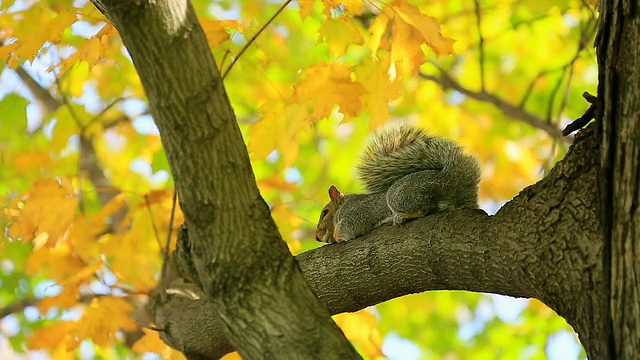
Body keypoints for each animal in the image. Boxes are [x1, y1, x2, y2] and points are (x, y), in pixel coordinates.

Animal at [316, 124, 480, 245]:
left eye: (325, 212)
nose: (317, 237)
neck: (343, 206)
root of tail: (450, 177)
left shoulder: (357, 213)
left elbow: (349, 227)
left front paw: (337, 236)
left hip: (399, 195)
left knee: (425, 207)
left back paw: (400, 217)